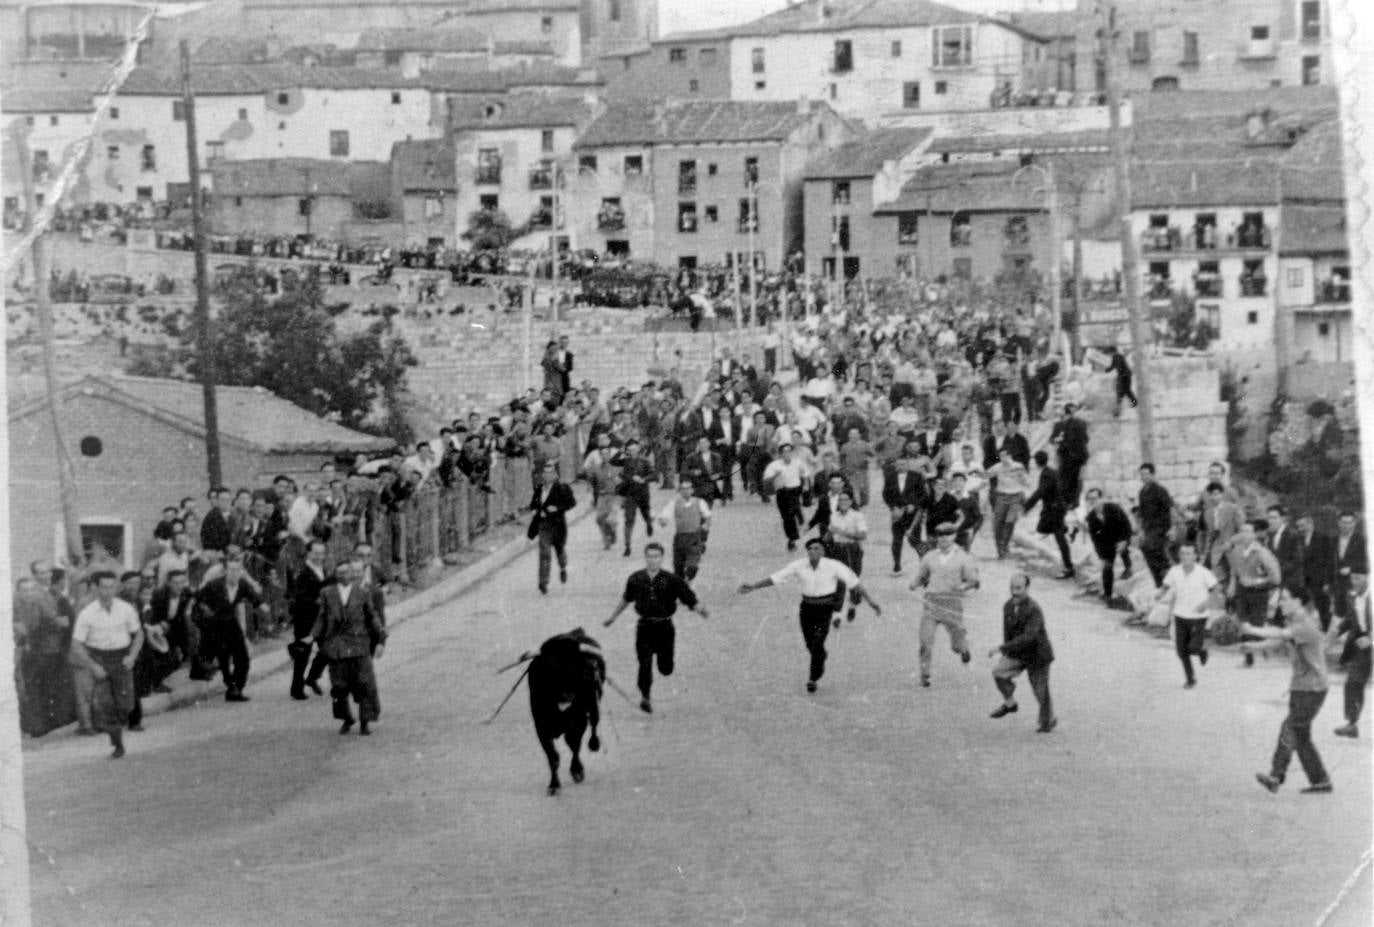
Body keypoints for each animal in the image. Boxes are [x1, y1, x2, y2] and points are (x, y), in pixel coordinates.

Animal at [527, 631, 604, 796]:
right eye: (552, 670)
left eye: (574, 669)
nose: (566, 695)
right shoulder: (542, 729)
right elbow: (553, 757)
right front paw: (553, 785)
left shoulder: (578, 722)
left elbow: (574, 745)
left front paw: (577, 772)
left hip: (593, 705)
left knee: (594, 724)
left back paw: (594, 744)